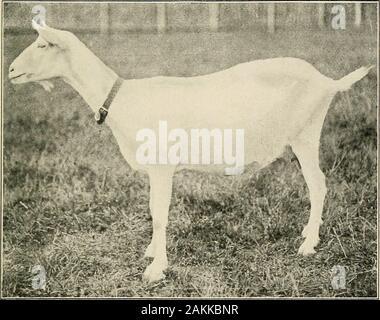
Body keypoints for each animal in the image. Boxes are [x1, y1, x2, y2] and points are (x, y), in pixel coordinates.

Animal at [8, 23, 372, 282]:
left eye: (42, 45)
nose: (10, 70)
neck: (122, 99)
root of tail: (327, 81)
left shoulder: (162, 166)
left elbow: (159, 214)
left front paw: (156, 269)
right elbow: (153, 212)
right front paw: (151, 252)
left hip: (306, 134)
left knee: (318, 185)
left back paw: (308, 245)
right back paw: (309, 233)